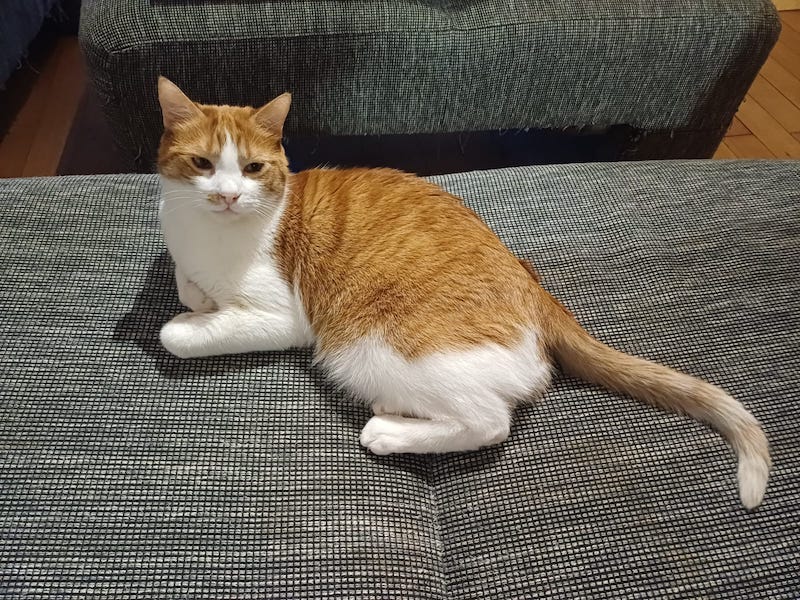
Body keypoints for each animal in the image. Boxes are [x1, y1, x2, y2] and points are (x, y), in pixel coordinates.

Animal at [155, 76, 771, 509]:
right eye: (203, 164)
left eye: (254, 168)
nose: (228, 196)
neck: (205, 233)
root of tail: (531, 284)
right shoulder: (186, 258)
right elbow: (187, 284)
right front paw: (199, 297)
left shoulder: (284, 318)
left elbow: (174, 332)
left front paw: (191, 322)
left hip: (370, 348)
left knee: (490, 421)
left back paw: (390, 430)